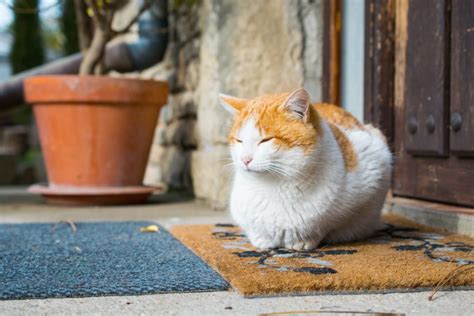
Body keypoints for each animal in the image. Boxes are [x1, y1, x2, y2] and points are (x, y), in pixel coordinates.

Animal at [220, 89, 390, 252]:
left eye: (265, 140)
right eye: (239, 141)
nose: (245, 159)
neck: (275, 186)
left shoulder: (374, 170)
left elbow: (329, 225)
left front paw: (303, 240)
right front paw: (262, 240)